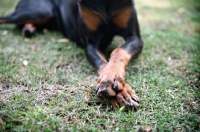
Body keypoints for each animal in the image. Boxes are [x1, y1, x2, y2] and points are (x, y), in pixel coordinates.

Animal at [0, 0, 144, 109]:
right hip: (38, 11)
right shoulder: (91, 44)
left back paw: (29, 28)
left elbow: (118, 51)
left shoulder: (134, 37)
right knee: (5, 19)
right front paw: (119, 91)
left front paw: (116, 83)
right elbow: (103, 64)